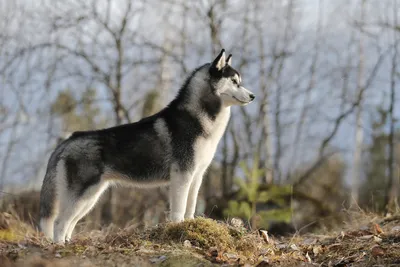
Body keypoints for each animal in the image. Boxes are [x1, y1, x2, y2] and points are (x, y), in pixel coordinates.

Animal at [39, 49, 255, 244]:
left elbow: (191, 206)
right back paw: (59, 247)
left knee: (69, 223)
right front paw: (178, 229)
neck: (199, 120)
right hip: (82, 195)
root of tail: (68, 140)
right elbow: (178, 209)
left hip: (90, 198)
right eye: (234, 82)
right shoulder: (182, 175)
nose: (253, 96)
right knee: (59, 222)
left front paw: (191, 224)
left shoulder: (197, 175)